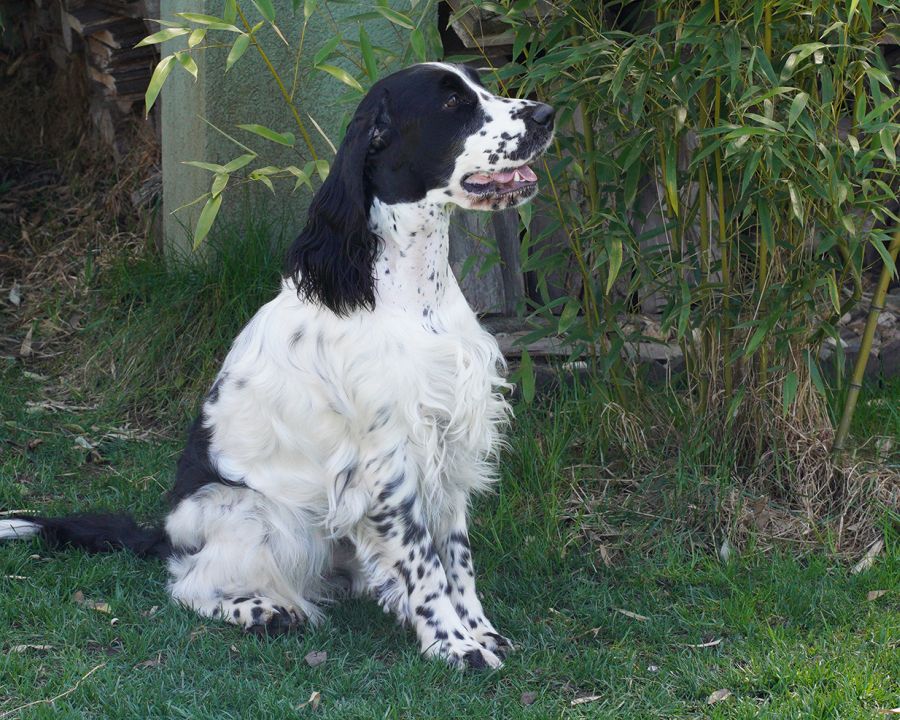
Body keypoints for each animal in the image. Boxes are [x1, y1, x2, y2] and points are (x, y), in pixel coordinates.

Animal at [1, 62, 556, 668]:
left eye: (479, 85)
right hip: (258, 514)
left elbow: (456, 554)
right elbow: (424, 560)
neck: (413, 294)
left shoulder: (451, 441)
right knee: (190, 582)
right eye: (453, 103)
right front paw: (453, 645)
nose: (547, 114)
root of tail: (169, 532)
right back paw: (265, 610)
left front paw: (478, 630)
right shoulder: (392, 456)